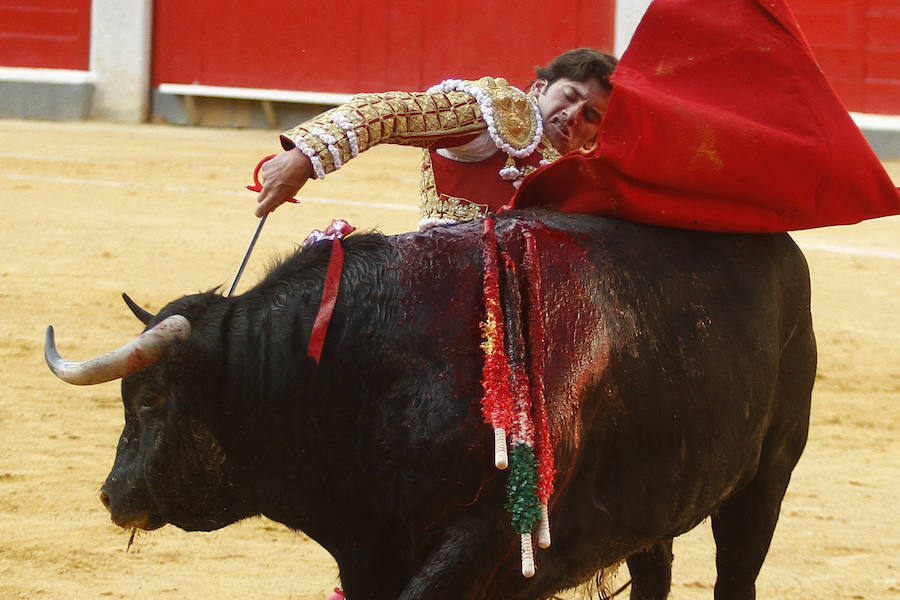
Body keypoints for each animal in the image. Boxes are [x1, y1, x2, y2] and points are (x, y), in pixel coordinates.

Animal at [44, 212, 816, 600]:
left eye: (150, 399)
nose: (113, 494)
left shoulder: (484, 540)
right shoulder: (367, 550)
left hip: (768, 474)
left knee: (738, 570)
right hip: (653, 498)